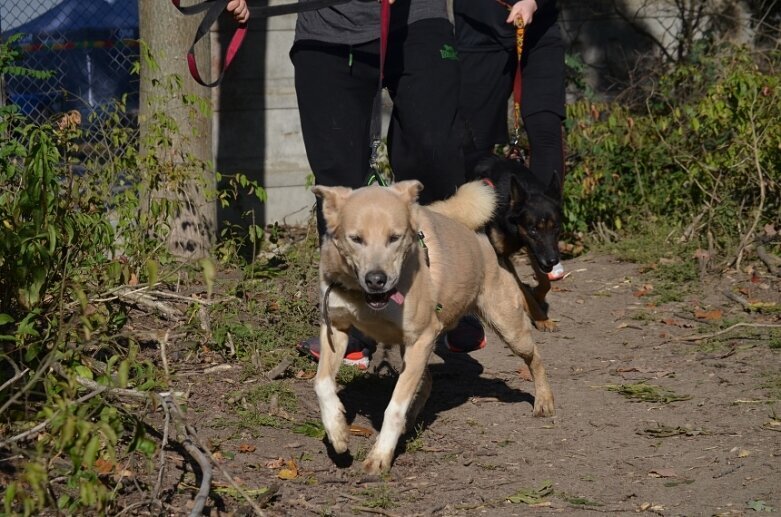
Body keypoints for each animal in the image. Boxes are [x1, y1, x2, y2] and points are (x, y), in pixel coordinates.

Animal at [310, 179, 556, 474]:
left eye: (394, 237)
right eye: (356, 239)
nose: (376, 279)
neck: (365, 298)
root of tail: (481, 238)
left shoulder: (424, 336)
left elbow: (394, 407)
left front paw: (380, 455)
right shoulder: (335, 329)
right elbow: (321, 383)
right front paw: (337, 430)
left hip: (506, 326)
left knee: (536, 356)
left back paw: (544, 400)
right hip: (410, 348)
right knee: (425, 382)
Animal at [470, 154, 560, 330]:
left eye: (555, 228)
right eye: (533, 230)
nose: (553, 260)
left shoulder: (533, 249)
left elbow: (545, 282)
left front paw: (538, 295)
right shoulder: (502, 257)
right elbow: (522, 290)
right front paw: (540, 318)